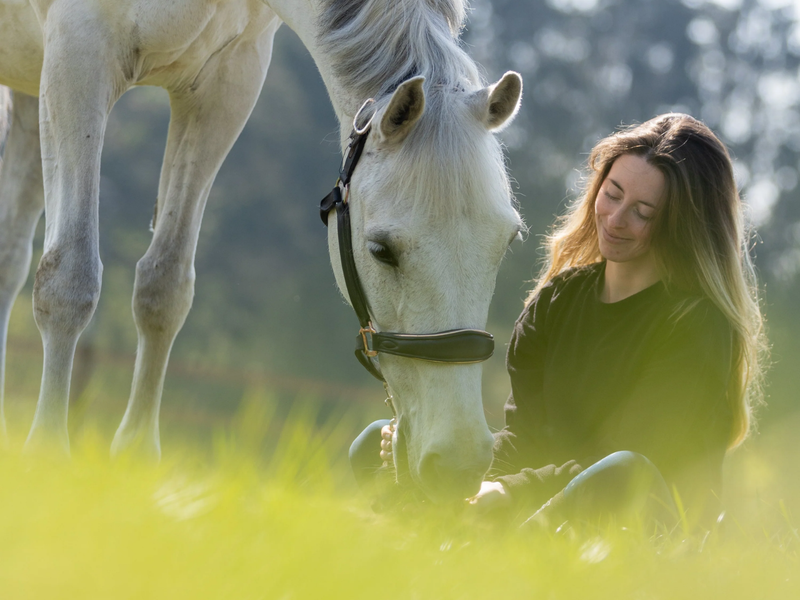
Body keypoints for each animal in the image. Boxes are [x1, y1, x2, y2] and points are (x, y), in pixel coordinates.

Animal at [0, 0, 523, 503]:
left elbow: (164, 288)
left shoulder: (224, 83)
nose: (457, 459)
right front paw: (48, 457)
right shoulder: (78, 54)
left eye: (508, 242)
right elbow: (69, 280)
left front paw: (136, 458)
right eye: (380, 250)